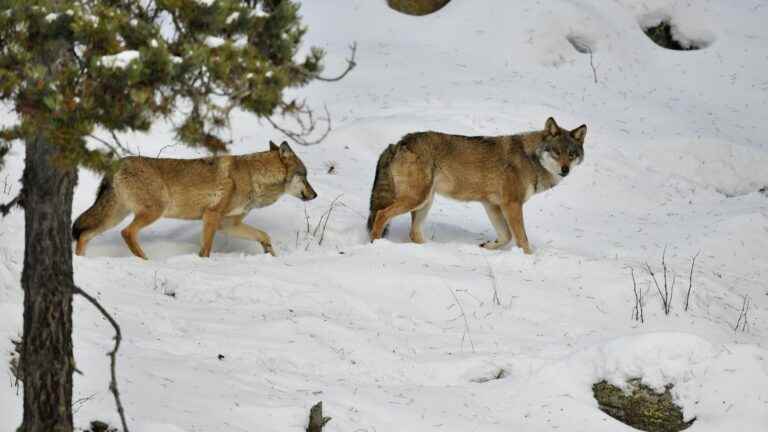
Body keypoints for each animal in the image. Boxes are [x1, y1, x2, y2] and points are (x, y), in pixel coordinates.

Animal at [70, 141, 316, 260]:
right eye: (305, 176)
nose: (315, 195)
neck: (254, 177)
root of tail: (118, 163)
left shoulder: (228, 224)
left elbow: (264, 235)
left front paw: (270, 254)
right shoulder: (211, 216)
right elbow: (205, 250)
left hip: (114, 216)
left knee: (84, 234)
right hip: (152, 212)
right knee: (127, 233)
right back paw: (145, 260)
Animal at [368, 116, 588, 255]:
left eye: (571, 154)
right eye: (556, 152)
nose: (565, 170)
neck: (531, 159)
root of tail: (399, 142)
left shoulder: (492, 205)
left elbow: (506, 236)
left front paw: (487, 246)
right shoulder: (512, 205)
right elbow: (522, 239)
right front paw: (528, 258)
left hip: (424, 203)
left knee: (413, 233)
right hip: (417, 199)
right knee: (381, 215)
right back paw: (375, 244)